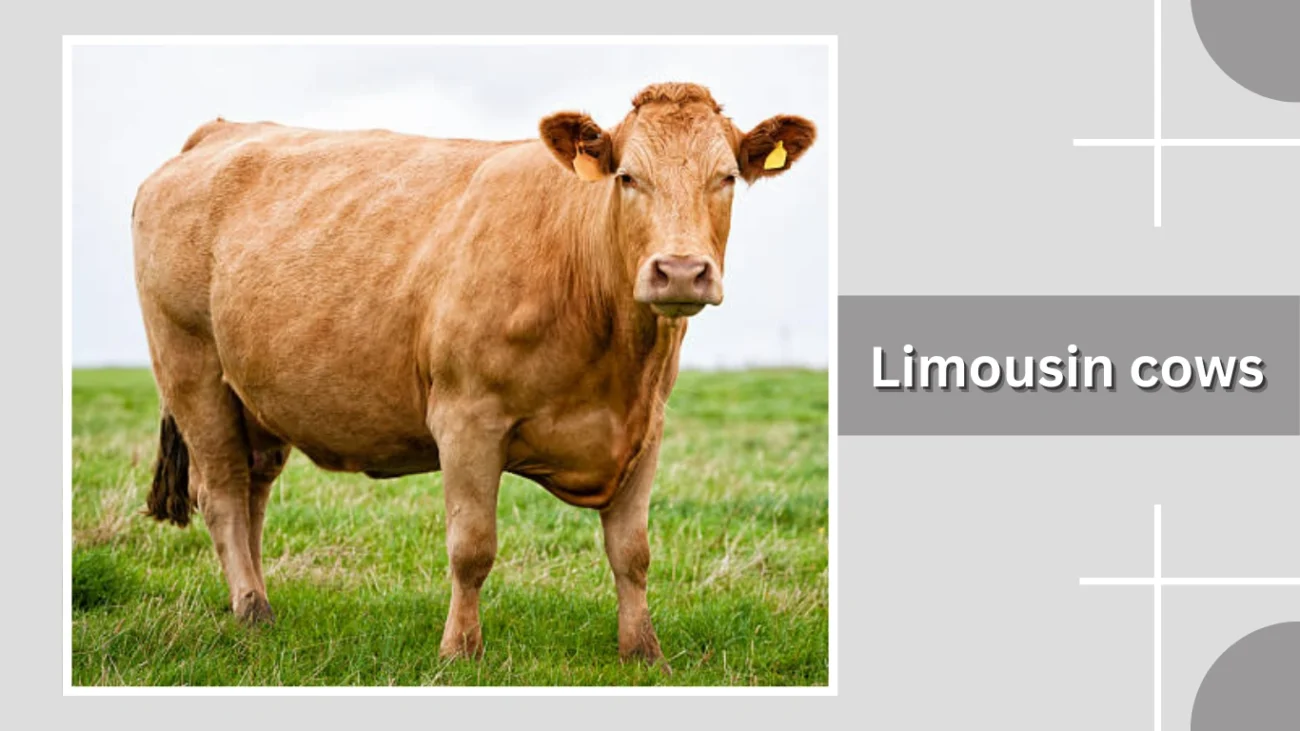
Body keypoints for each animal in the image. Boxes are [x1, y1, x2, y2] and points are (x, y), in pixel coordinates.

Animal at [131, 82, 816, 665]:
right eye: (628, 177)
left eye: (726, 178)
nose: (678, 271)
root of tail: (219, 131)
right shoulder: (466, 418)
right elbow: (472, 548)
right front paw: (459, 651)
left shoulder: (645, 427)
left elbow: (632, 552)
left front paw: (645, 653)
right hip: (191, 365)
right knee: (222, 492)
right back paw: (251, 608)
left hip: (255, 396)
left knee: (254, 490)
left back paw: (254, 605)